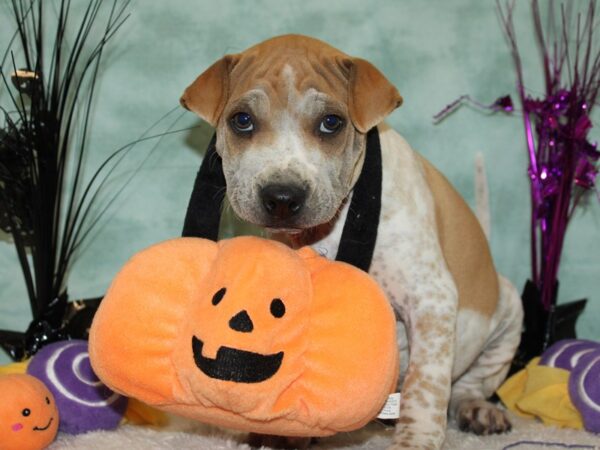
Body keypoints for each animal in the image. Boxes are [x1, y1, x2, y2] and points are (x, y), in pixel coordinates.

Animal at [180, 33, 524, 448]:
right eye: (242, 120)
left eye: (331, 123)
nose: (282, 197)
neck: (333, 227)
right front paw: (283, 433)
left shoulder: (432, 299)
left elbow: (425, 386)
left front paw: (415, 440)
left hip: (507, 314)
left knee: (468, 385)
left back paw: (477, 409)